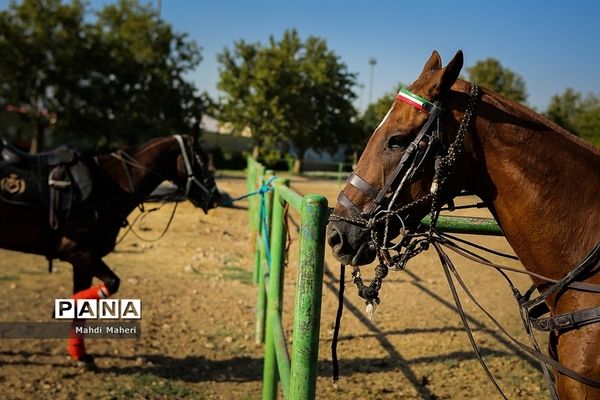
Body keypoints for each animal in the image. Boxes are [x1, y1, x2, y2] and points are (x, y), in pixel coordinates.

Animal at [0, 134, 220, 366]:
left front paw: (80, 354)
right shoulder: (77, 253)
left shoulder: (83, 262)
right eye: (201, 160)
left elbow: (82, 308)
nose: (216, 197)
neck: (107, 187)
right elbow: (111, 283)